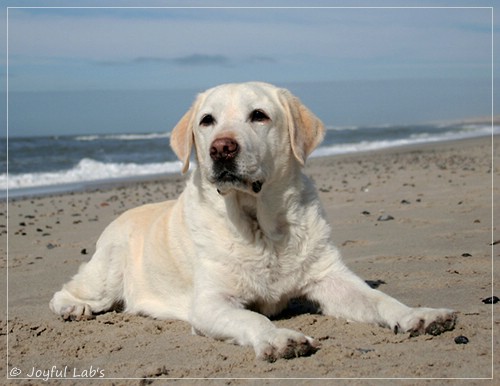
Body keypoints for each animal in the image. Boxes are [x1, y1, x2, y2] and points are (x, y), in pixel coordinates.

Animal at [51, 82, 458, 362]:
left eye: (259, 115)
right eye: (207, 121)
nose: (221, 148)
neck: (262, 227)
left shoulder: (331, 278)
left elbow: (380, 299)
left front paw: (418, 315)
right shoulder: (211, 302)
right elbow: (252, 320)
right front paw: (280, 338)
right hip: (106, 275)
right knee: (65, 291)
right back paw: (74, 309)